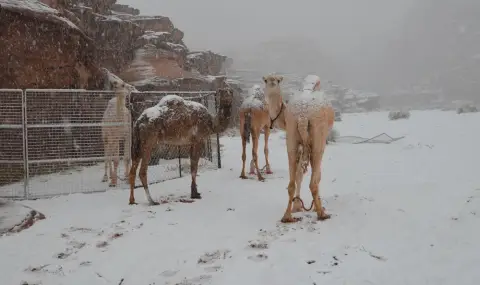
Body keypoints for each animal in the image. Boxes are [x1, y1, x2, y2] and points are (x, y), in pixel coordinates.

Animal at [282, 75, 334, 222]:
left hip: (291, 130)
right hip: (318, 130)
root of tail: (303, 114)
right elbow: (318, 174)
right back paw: (322, 214)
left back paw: (287, 217)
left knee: (292, 180)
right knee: (313, 179)